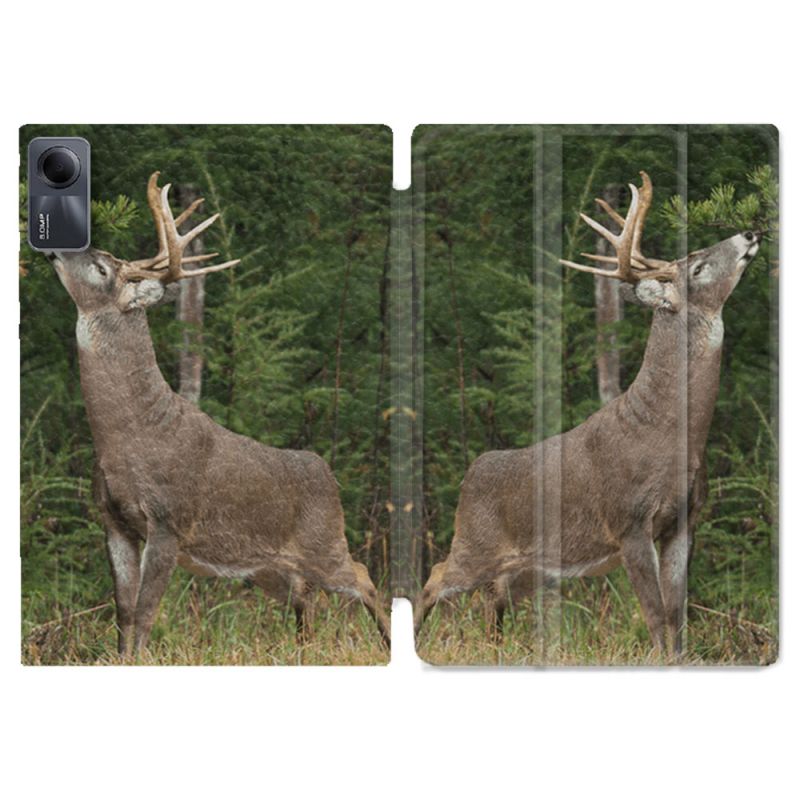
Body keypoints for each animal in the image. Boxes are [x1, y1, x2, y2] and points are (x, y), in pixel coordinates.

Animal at [49, 172, 390, 657]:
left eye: (101, 268)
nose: (55, 249)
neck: (128, 436)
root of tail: (328, 474)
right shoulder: (113, 521)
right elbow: (123, 612)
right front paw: (119, 659)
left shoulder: (169, 520)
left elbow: (146, 612)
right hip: (270, 567)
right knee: (307, 599)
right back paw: (303, 651)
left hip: (325, 541)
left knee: (363, 578)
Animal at [414, 171, 761, 658]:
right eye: (696, 268)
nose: (750, 233)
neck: (669, 432)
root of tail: (470, 474)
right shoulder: (628, 520)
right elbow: (656, 617)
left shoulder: (685, 519)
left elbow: (678, 618)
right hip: (474, 542)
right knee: (433, 578)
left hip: (526, 568)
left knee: (492, 599)